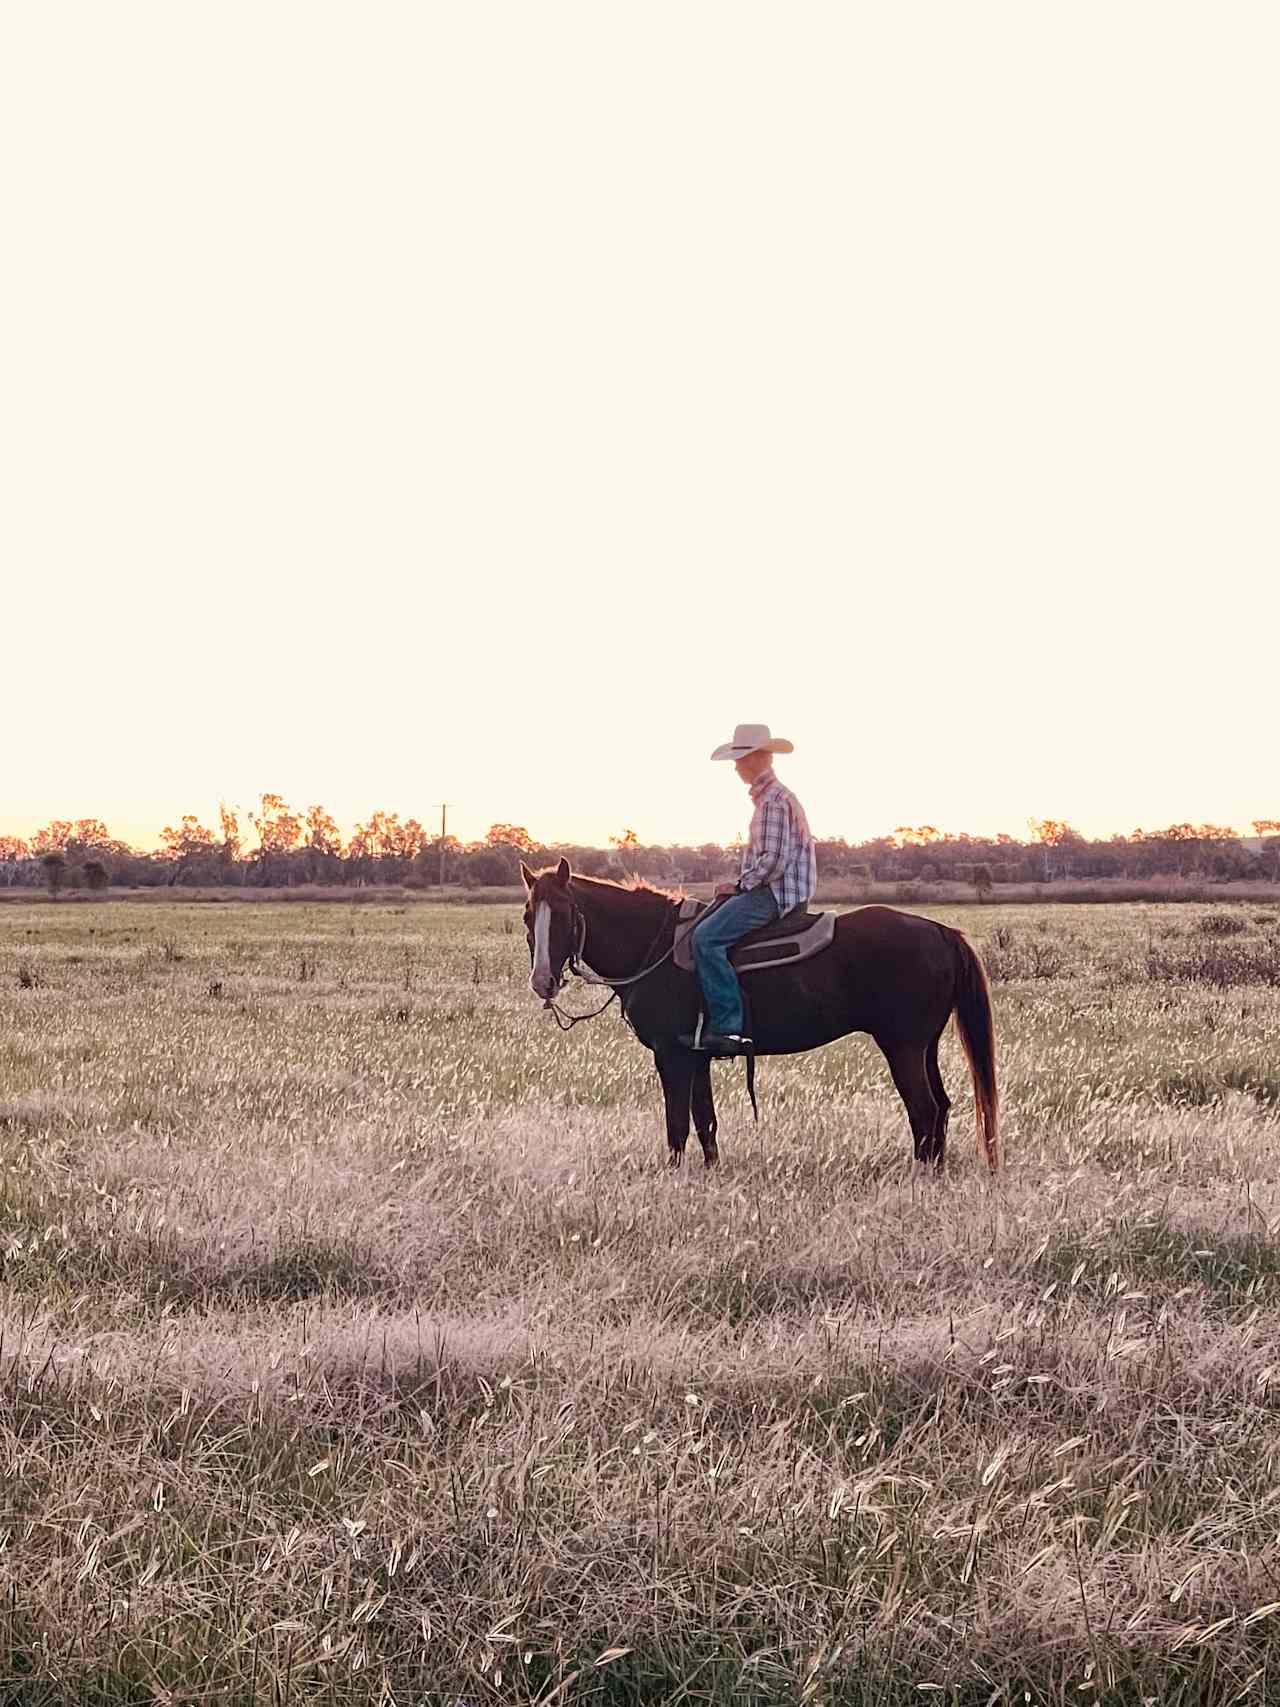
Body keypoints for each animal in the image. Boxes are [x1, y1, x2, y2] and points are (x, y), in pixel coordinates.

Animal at [522, 867, 1003, 1174]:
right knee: (941, 1108)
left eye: (563, 915)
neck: (654, 947)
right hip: (925, 1046)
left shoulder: (671, 1055)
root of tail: (941, 931)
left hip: (902, 1047)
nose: (542, 981)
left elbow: (677, 1125)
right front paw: (711, 1175)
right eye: (528, 917)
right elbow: (705, 1121)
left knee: (924, 1111)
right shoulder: (696, 1056)